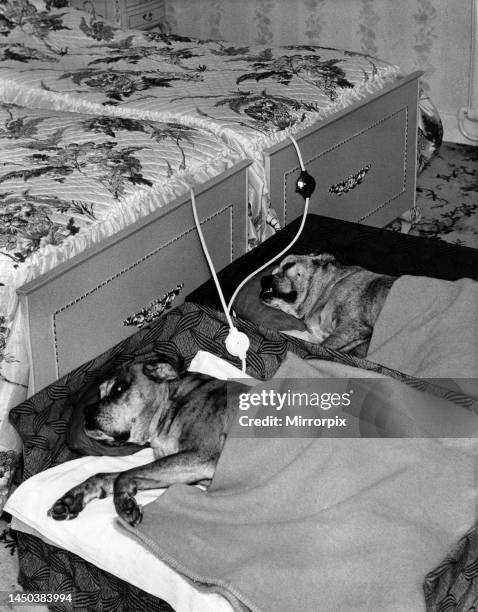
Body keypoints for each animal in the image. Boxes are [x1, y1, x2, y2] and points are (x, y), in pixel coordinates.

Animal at [48, 358, 246, 524]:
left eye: (119, 388)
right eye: (100, 393)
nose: (86, 410)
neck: (175, 400)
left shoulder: (201, 455)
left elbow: (122, 475)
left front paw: (124, 504)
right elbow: (106, 475)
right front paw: (72, 498)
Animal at [260, 253, 394, 358]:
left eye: (288, 265)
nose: (263, 279)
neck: (328, 288)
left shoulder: (351, 328)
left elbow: (324, 347)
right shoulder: (313, 337)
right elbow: (288, 334)